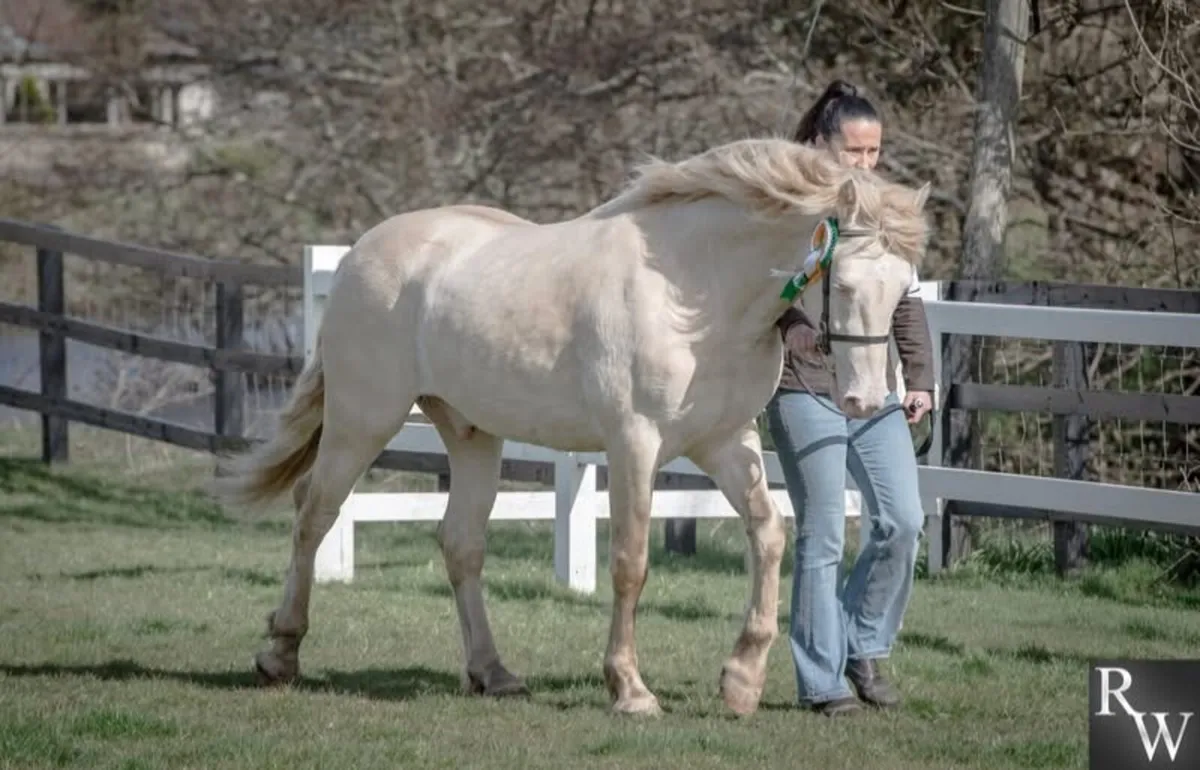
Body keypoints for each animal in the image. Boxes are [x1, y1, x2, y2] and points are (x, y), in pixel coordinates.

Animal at [212, 137, 931, 718]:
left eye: (905, 288)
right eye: (845, 285)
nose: (866, 400)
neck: (695, 290)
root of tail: (360, 253)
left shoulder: (725, 441)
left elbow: (770, 536)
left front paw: (741, 681)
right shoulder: (635, 443)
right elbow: (630, 564)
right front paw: (631, 690)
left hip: (471, 433)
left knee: (460, 544)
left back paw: (493, 673)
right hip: (365, 416)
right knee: (314, 514)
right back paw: (279, 653)